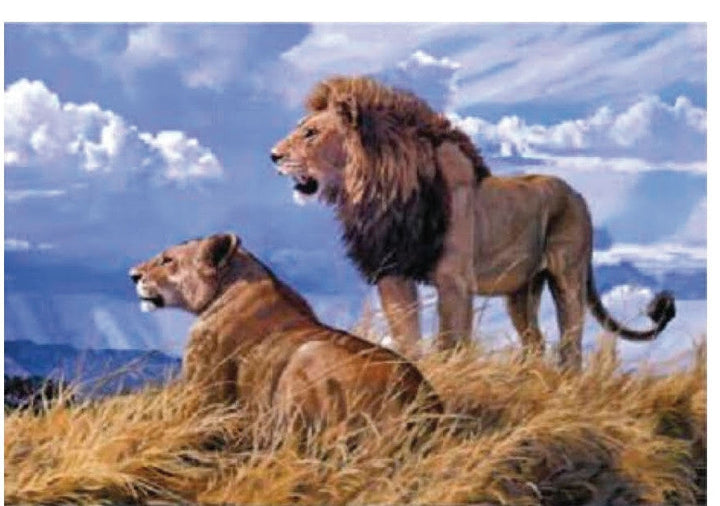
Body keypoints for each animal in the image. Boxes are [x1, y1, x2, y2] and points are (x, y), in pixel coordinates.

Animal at [270, 75, 676, 369]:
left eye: (310, 132)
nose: (273, 155)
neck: (380, 192)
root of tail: (577, 194)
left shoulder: (454, 281)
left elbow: (451, 343)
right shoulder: (393, 274)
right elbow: (407, 338)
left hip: (567, 275)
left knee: (570, 342)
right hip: (522, 289)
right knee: (536, 343)